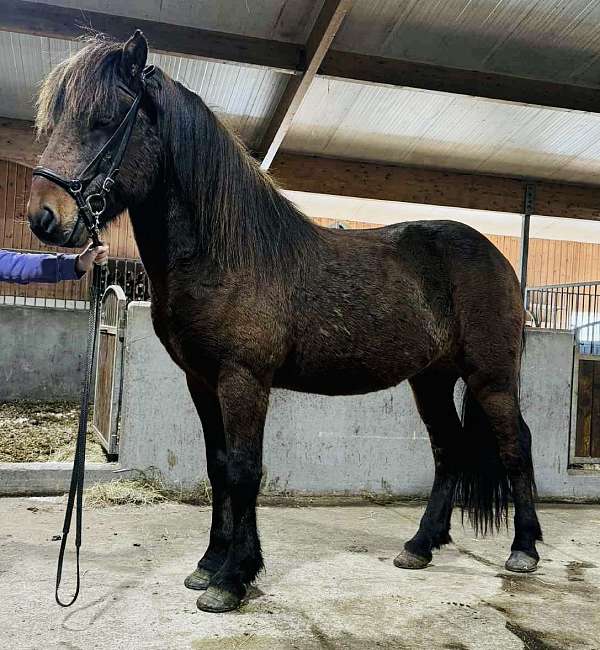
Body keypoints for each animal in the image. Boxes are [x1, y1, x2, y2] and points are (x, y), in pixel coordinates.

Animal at [27, 31, 542, 613]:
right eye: (55, 120)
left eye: (106, 119)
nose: (44, 217)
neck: (227, 253)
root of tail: (495, 256)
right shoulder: (202, 380)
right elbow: (219, 466)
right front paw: (209, 564)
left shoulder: (244, 379)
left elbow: (245, 469)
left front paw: (233, 578)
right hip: (431, 379)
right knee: (447, 450)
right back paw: (420, 545)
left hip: (490, 378)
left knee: (515, 446)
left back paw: (523, 550)